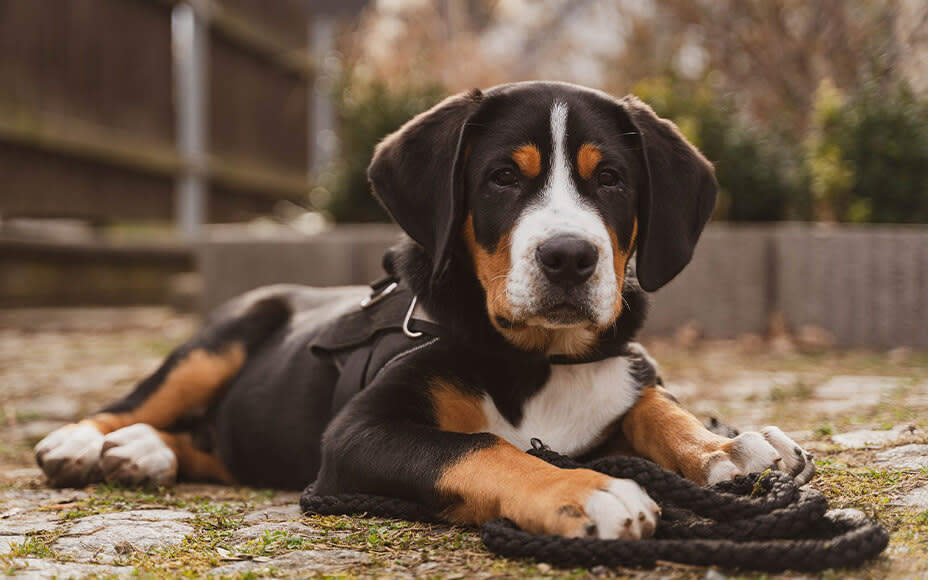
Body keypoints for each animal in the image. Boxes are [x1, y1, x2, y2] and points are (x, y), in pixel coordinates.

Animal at [34, 81, 812, 540]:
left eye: (612, 179)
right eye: (503, 177)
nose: (568, 257)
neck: (537, 357)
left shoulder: (619, 371)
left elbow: (654, 404)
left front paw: (728, 448)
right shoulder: (357, 433)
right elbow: (482, 448)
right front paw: (588, 489)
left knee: (212, 441)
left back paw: (143, 453)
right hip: (223, 338)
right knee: (141, 399)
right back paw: (82, 440)